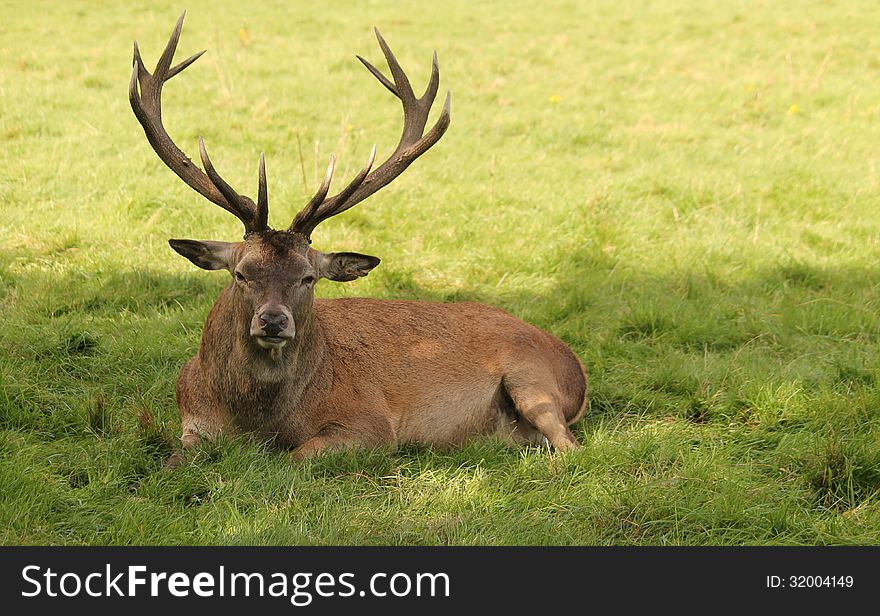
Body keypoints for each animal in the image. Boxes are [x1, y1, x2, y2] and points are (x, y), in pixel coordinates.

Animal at [129, 13, 584, 462]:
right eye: (241, 274)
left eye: (308, 277)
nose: (274, 321)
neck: (255, 423)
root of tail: (574, 366)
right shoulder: (190, 420)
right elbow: (174, 458)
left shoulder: (371, 423)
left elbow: (297, 456)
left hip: (532, 377)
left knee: (570, 447)